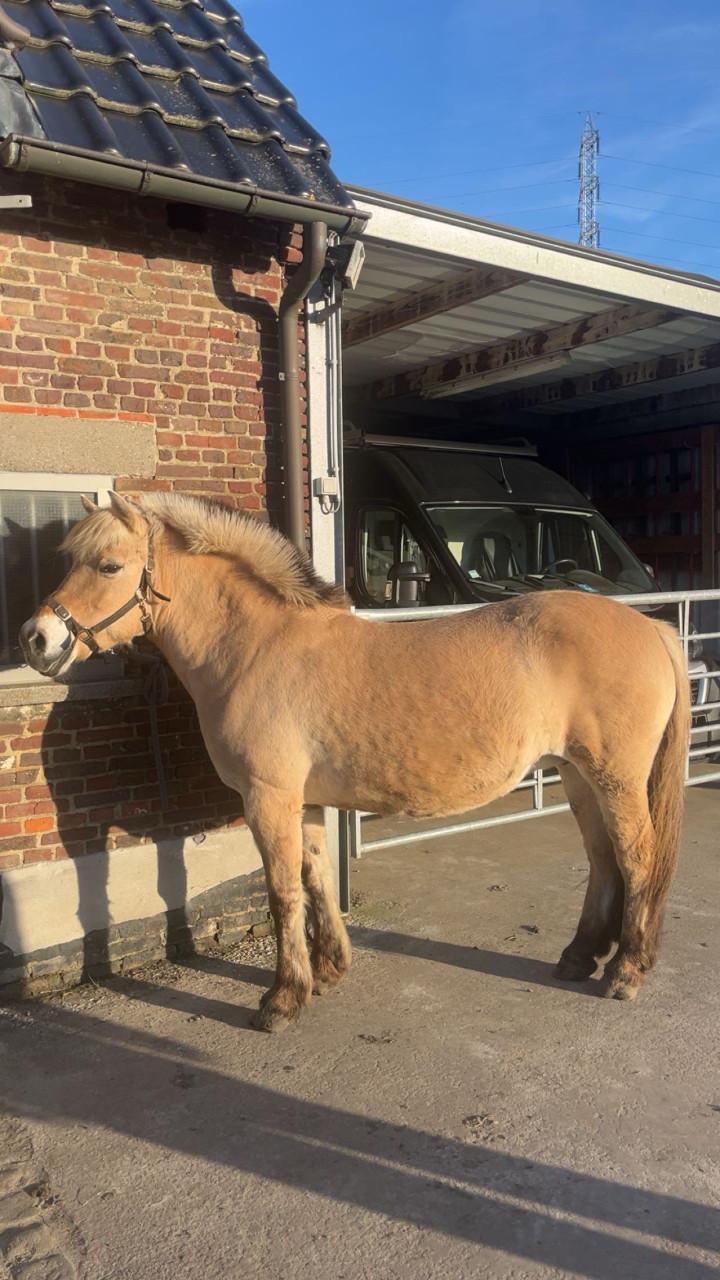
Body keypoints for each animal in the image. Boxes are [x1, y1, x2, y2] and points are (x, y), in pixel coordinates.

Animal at [19, 491, 690, 1031]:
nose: (37, 639)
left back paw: (626, 971)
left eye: (109, 565)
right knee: (603, 861)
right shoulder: (304, 800)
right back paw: (579, 958)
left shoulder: (268, 798)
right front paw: (329, 970)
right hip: (577, 776)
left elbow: (283, 892)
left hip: (614, 779)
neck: (255, 648)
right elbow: (316, 876)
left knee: (637, 858)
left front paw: (282, 1000)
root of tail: (654, 629)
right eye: (71, 561)